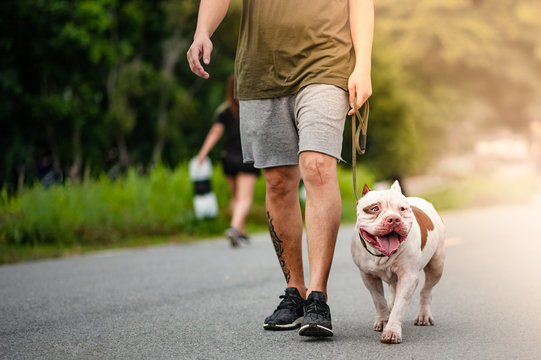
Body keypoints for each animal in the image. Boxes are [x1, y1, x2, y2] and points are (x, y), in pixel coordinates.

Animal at [350, 181, 442, 344]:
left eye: (402, 209)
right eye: (374, 208)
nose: (393, 218)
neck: (381, 255)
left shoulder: (408, 277)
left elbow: (400, 305)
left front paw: (391, 331)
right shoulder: (368, 276)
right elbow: (379, 300)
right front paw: (383, 320)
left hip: (437, 265)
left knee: (426, 291)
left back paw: (423, 315)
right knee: (393, 290)